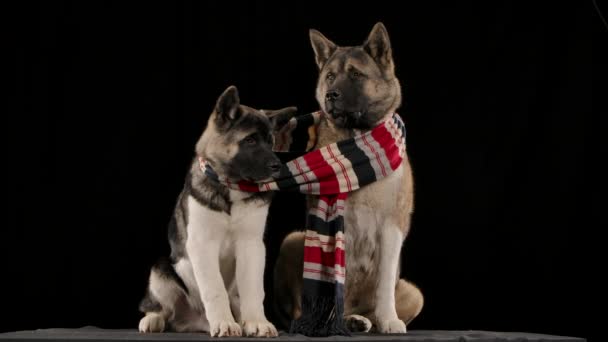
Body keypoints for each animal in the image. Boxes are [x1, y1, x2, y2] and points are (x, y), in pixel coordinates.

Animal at [140, 85, 296, 336]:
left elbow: (253, 289)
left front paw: (257, 322)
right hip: (161, 270)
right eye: (250, 140)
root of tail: (193, 319)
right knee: (160, 308)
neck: (231, 187)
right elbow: (214, 288)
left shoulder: (252, 246)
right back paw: (153, 319)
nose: (278, 167)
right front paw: (224, 322)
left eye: (270, 142)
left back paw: (241, 320)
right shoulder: (202, 244)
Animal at [274, 22, 422, 332]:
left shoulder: (392, 226)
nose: (331, 94)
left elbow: (384, 281)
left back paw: (361, 319)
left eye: (355, 74)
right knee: (301, 307)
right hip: (293, 240)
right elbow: (334, 276)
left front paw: (388, 319)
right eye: (330, 76)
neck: (357, 139)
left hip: (414, 293)